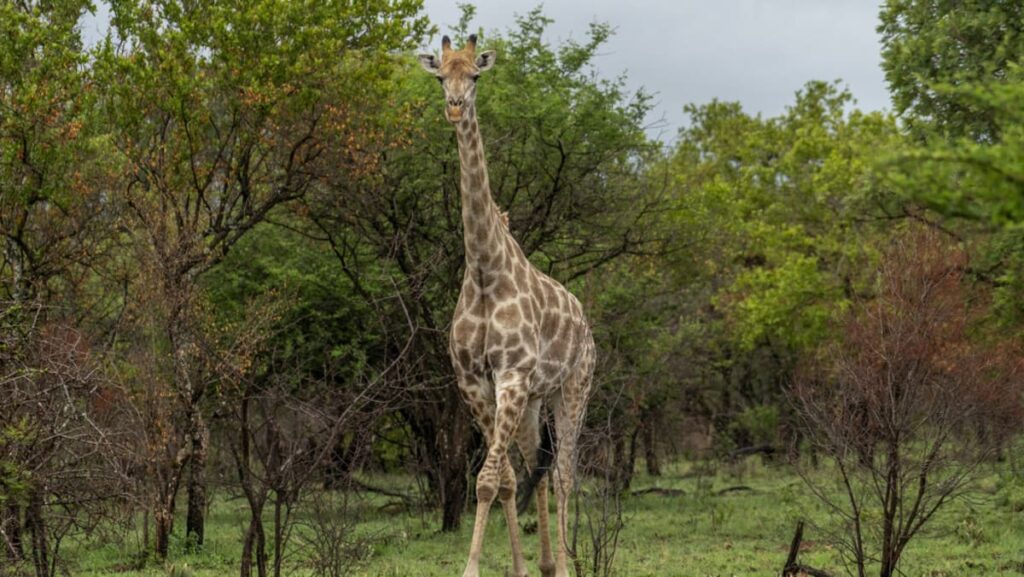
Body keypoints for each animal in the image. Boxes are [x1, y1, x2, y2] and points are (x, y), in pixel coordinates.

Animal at [415, 35, 593, 577]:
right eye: (440, 76)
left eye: (475, 75)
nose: (454, 107)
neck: (483, 270)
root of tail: (585, 321)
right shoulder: (475, 381)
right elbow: (504, 480)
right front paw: (517, 567)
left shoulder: (511, 375)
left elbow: (490, 479)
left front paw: (473, 568)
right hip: (536, 399)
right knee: (539, 466)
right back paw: (549, 564)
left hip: (574, 387)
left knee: (566, 474)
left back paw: (572, 563)